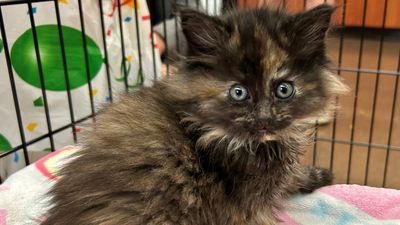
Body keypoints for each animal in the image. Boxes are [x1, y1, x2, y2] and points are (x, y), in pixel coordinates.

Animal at [41, 3, 346, 225]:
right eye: (238, 93)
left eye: (284, 89)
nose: (264, 120)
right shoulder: (247, 204)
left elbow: (290, 177)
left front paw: (316, 175)